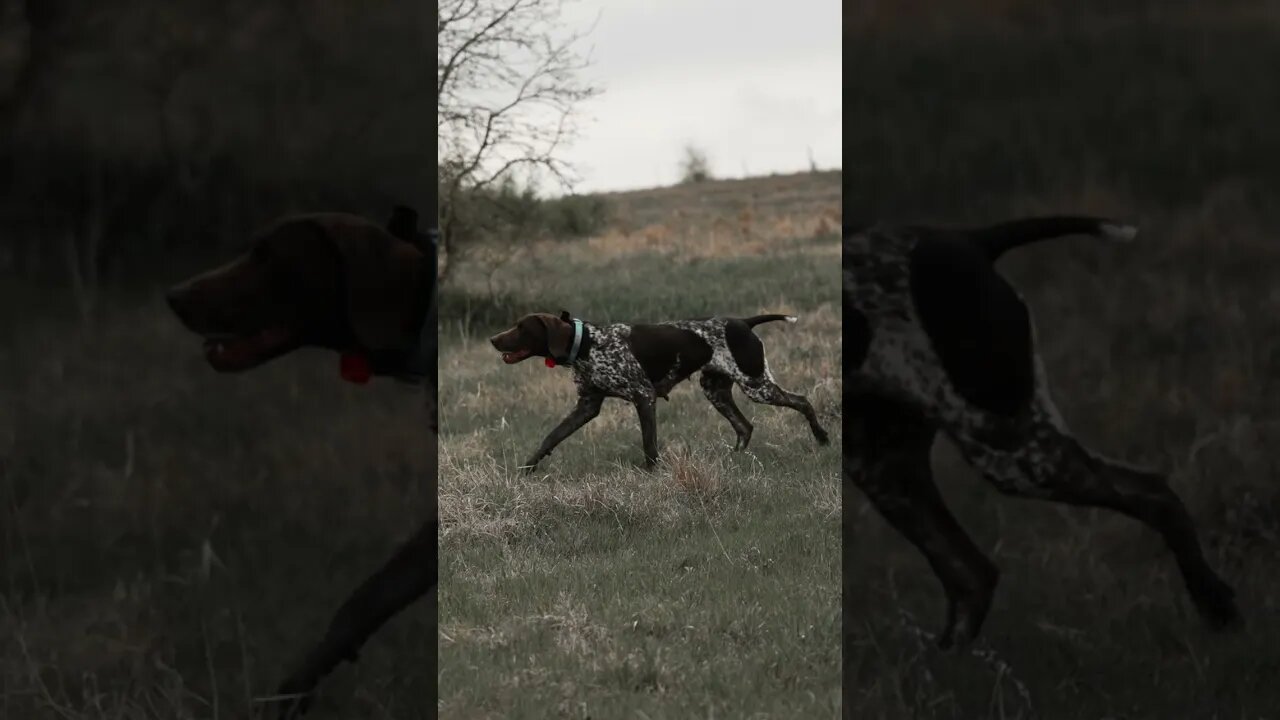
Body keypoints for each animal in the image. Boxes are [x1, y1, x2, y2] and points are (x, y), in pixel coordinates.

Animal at [488, 310, 829, 471]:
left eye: (522, 327)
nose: (492, 339)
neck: (587, 344)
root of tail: (743, 322)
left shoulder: (643, 397)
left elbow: (649, 445)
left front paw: (652, 474)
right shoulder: (586, 406)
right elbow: (551, 437)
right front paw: (527, 468)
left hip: (756, 385)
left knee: (803, 401)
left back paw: (822, 437)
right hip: (716, 390)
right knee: (745, 427)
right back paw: (733, 460)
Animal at [844, 212, 1233, 645]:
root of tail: (969, 240)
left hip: (1012, 448)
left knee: (1156, 494)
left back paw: (1214, 602)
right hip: (889, 467)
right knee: (971, 577)